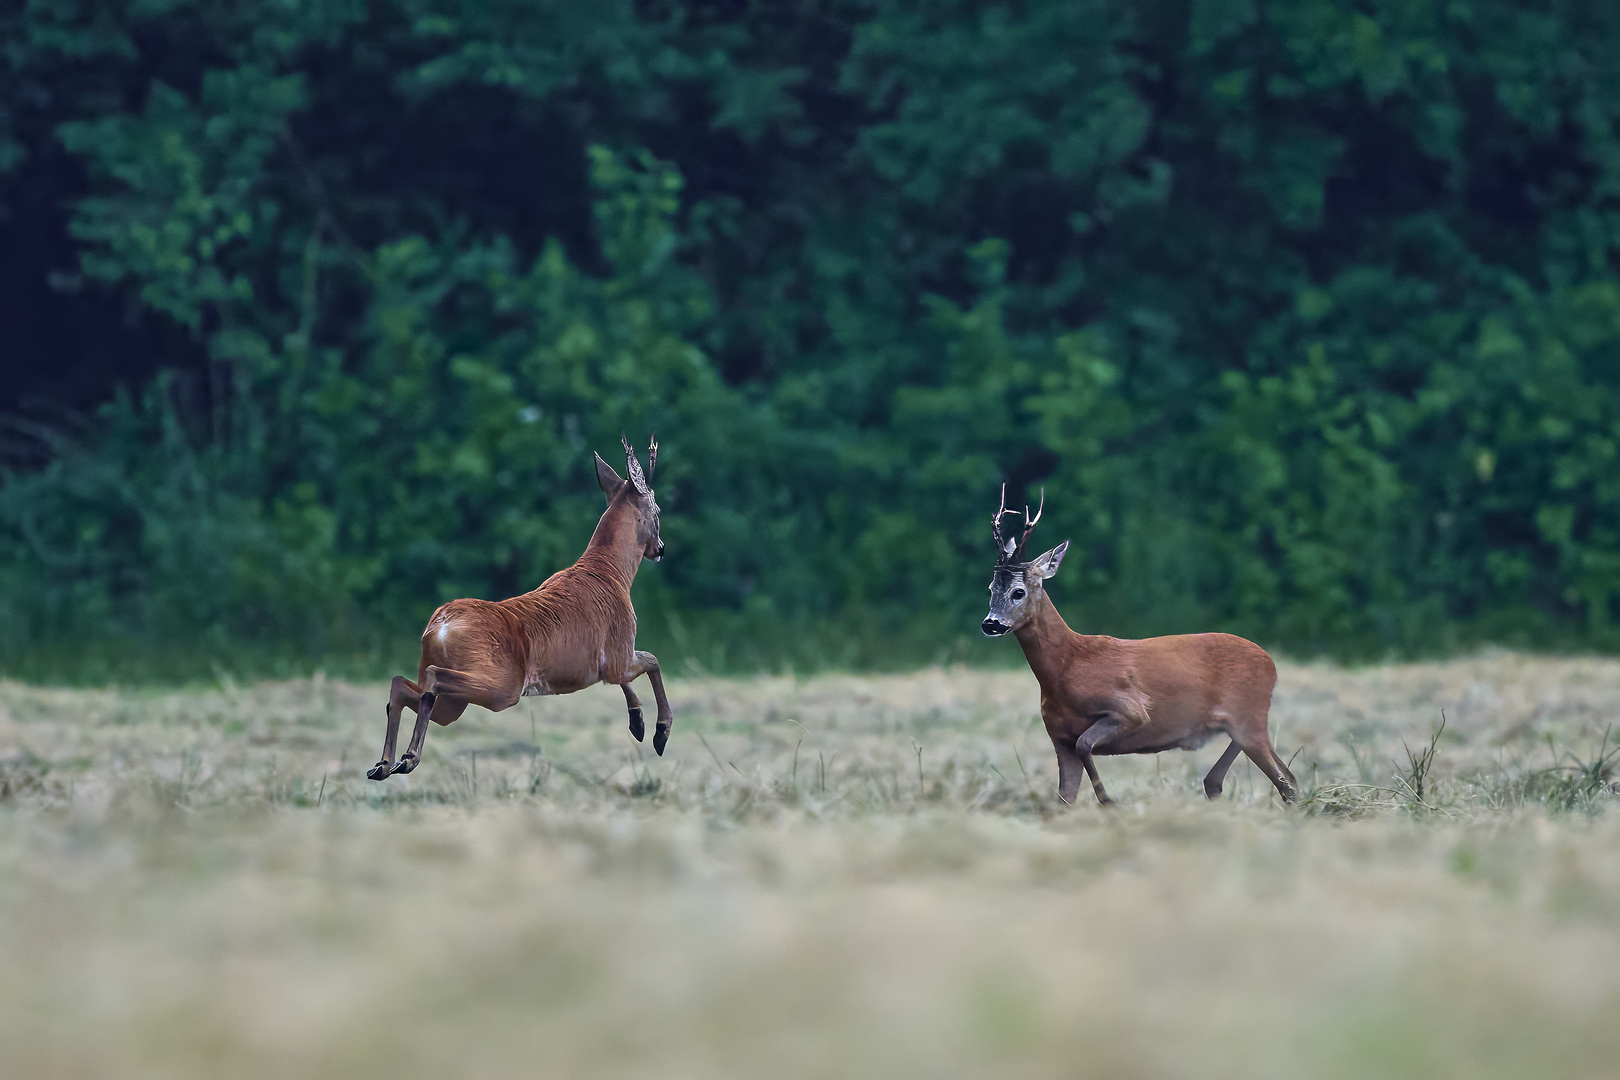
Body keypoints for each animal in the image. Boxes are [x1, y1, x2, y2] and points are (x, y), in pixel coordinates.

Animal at [369, 433, 670, 780]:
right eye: (657, 509)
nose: (661, 549)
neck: (612, 573)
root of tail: (440, 624)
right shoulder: (618, 653)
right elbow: (652, 660)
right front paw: (657, 732)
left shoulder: (612, 660)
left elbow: (638, 670)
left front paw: (638, 723)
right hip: (502, 685)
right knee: (432, 678)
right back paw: (408, 758)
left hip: (456, 699)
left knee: (401, 686)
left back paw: (383, 765)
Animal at [972, 485, 1302, 806]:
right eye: (990, 588)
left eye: (1018, 591)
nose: (990, 624)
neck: (1066, 667)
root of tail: (1271, 663)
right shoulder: (1059, 737)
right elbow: (1064, 799)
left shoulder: (1130, 709)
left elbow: (1085, 744)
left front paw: (1108, 800)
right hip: (1241, 723)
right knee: (1244, 777)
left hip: (1251, 718)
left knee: (1287, 780)